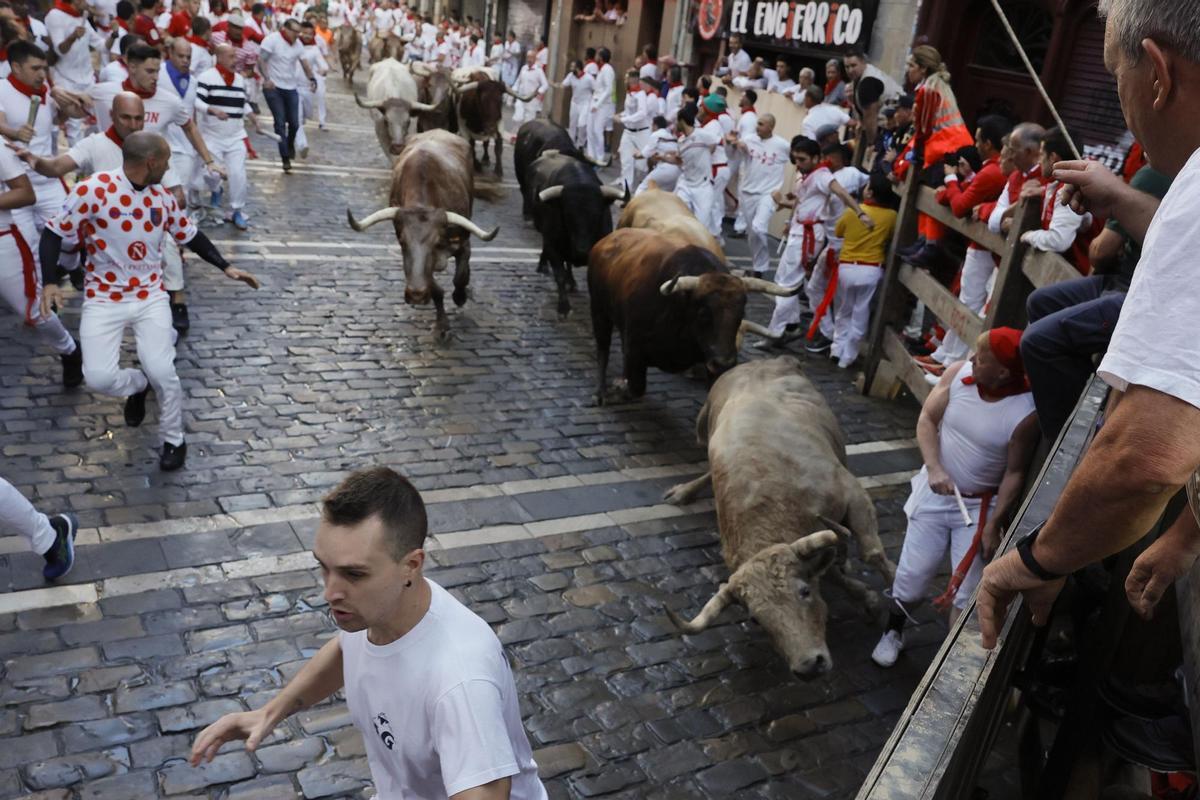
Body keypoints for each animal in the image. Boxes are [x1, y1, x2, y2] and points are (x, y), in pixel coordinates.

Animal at [345, 127, 499, 338]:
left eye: (436, 242)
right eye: (402, 242)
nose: (415, 294)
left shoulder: (463, 242)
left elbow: (460, 276)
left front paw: (459, 296)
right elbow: (436, 289)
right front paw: (442, 324)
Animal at [588, 230, 801, 407]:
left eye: (742, 313)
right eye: (703, 313)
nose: (724, 363)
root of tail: (606, 240)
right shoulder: (634, 349)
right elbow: (635, 387)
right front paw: (618, 387)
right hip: (599, 312)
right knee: (602, 349)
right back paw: (600, 392)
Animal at [667, 359, 902, 681]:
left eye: (803, 592)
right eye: (756, 619)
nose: (809, 665)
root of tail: (761, 361)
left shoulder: (852, 492)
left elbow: (872, 553)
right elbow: (830, 570)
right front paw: (868, 599)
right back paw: (684, 490)